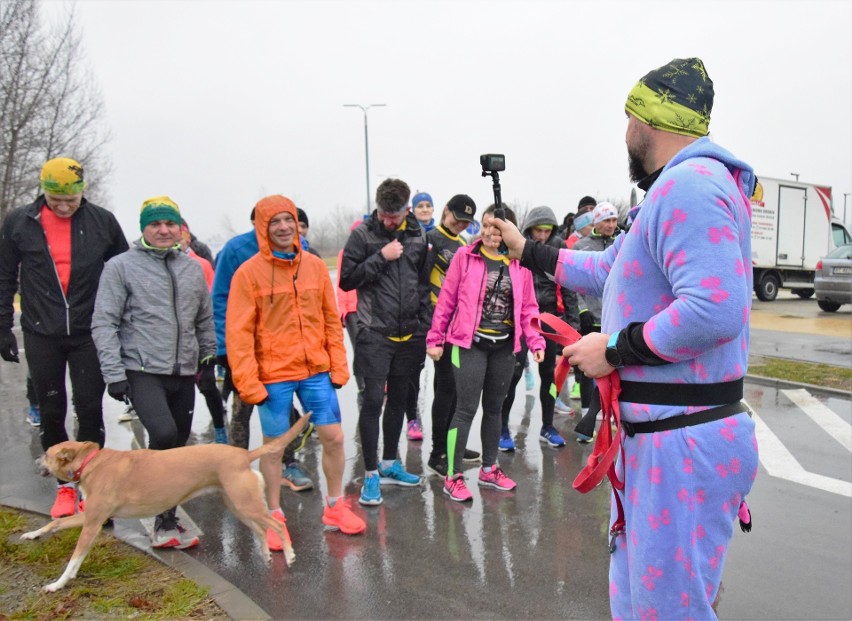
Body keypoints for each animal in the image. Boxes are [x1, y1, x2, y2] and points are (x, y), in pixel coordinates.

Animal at [20, 414, 310, 588]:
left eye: (46, 454)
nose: (34, 460)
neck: (90, 462)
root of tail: (243, 454)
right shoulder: (89, 516)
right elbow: (54, 524)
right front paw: (33, 534)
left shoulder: (92, 524)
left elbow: (74, 559)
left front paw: (58, 584)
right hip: (238, 505)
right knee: (261, 529)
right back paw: (266, 554)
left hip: (246, 504)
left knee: (276, 524)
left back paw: (289, 554)